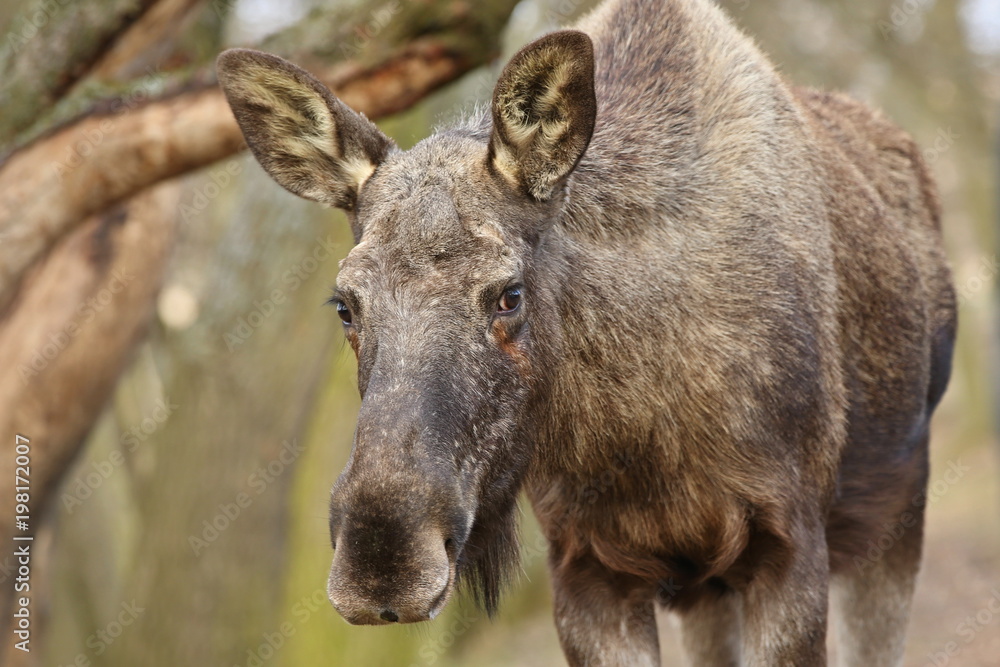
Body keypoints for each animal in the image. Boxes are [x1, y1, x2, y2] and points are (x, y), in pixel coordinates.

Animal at [217, 0, 952, 664]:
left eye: (508, 294)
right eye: (345, 304)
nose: (383, 562)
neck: (639, 433)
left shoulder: (790, 541)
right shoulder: (586, 564)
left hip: (897, 509)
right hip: (711, 589)